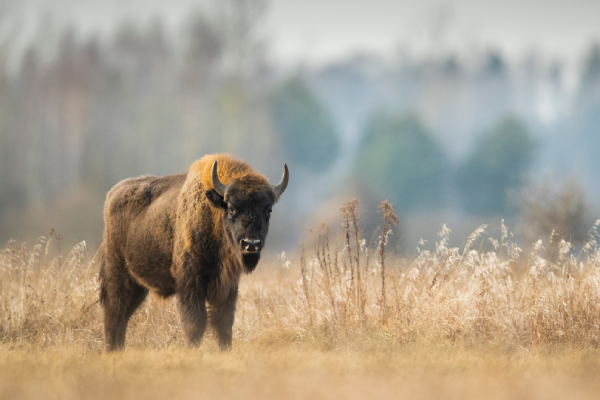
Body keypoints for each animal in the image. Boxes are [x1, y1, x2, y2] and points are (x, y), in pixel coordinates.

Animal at [98, 153, 288, 350]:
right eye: (232, 208)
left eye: (268, 210)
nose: (251, 244)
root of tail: (112, 194)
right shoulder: (190, 281)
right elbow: (195, 323)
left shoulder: (227, 284)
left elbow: (224, 323)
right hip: (118, 275)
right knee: (114, 313)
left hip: (138, 285)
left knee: (123, 316)